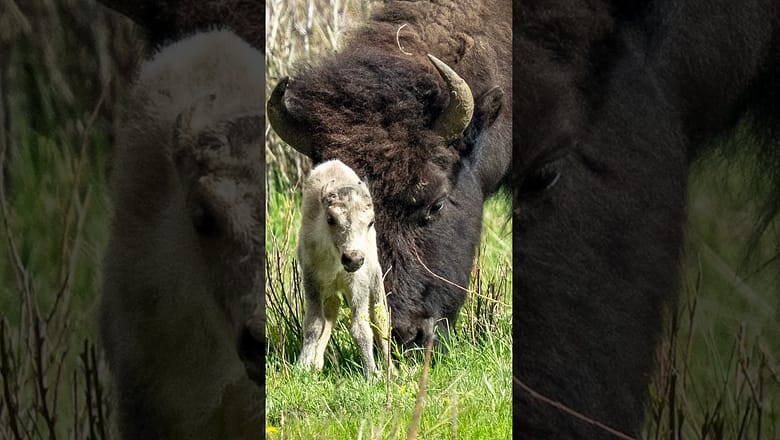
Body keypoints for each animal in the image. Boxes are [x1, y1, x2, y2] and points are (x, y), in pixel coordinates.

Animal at [297, 159, 391, 379]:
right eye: (331, 219)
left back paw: (392, 369)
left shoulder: (358, 283)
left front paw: (372, 374)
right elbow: (314, 323)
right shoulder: (312, 280)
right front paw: (303, 366)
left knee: (380, 318)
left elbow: (361, 328)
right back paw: (317, 363)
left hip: (375, 279)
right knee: (332, 308)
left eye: (371, 222)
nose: (353, 258)